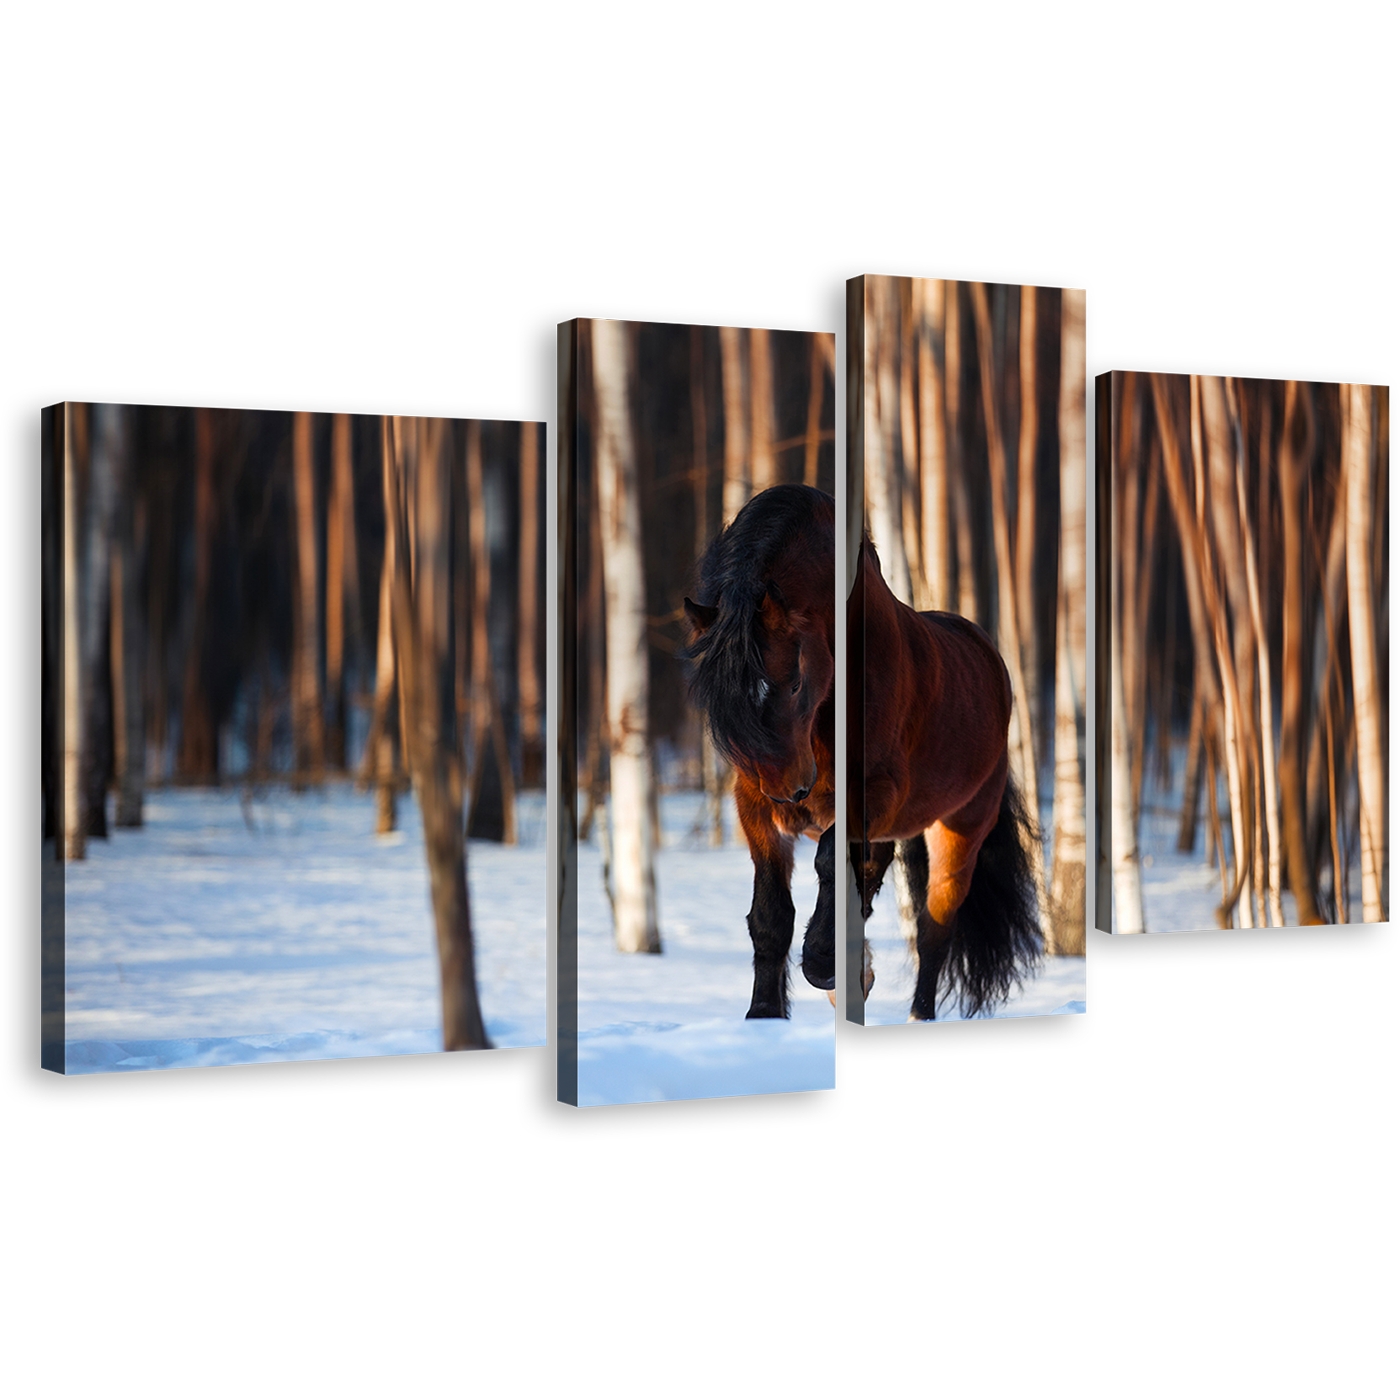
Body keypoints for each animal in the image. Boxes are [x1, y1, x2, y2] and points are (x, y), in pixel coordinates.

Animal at [683, 484, 834, 1019]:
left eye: (795, 685)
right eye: (726, 705)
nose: (792, 794)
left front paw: (822, 960)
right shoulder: (752, 804)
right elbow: (770, 917)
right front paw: (762, 1017)